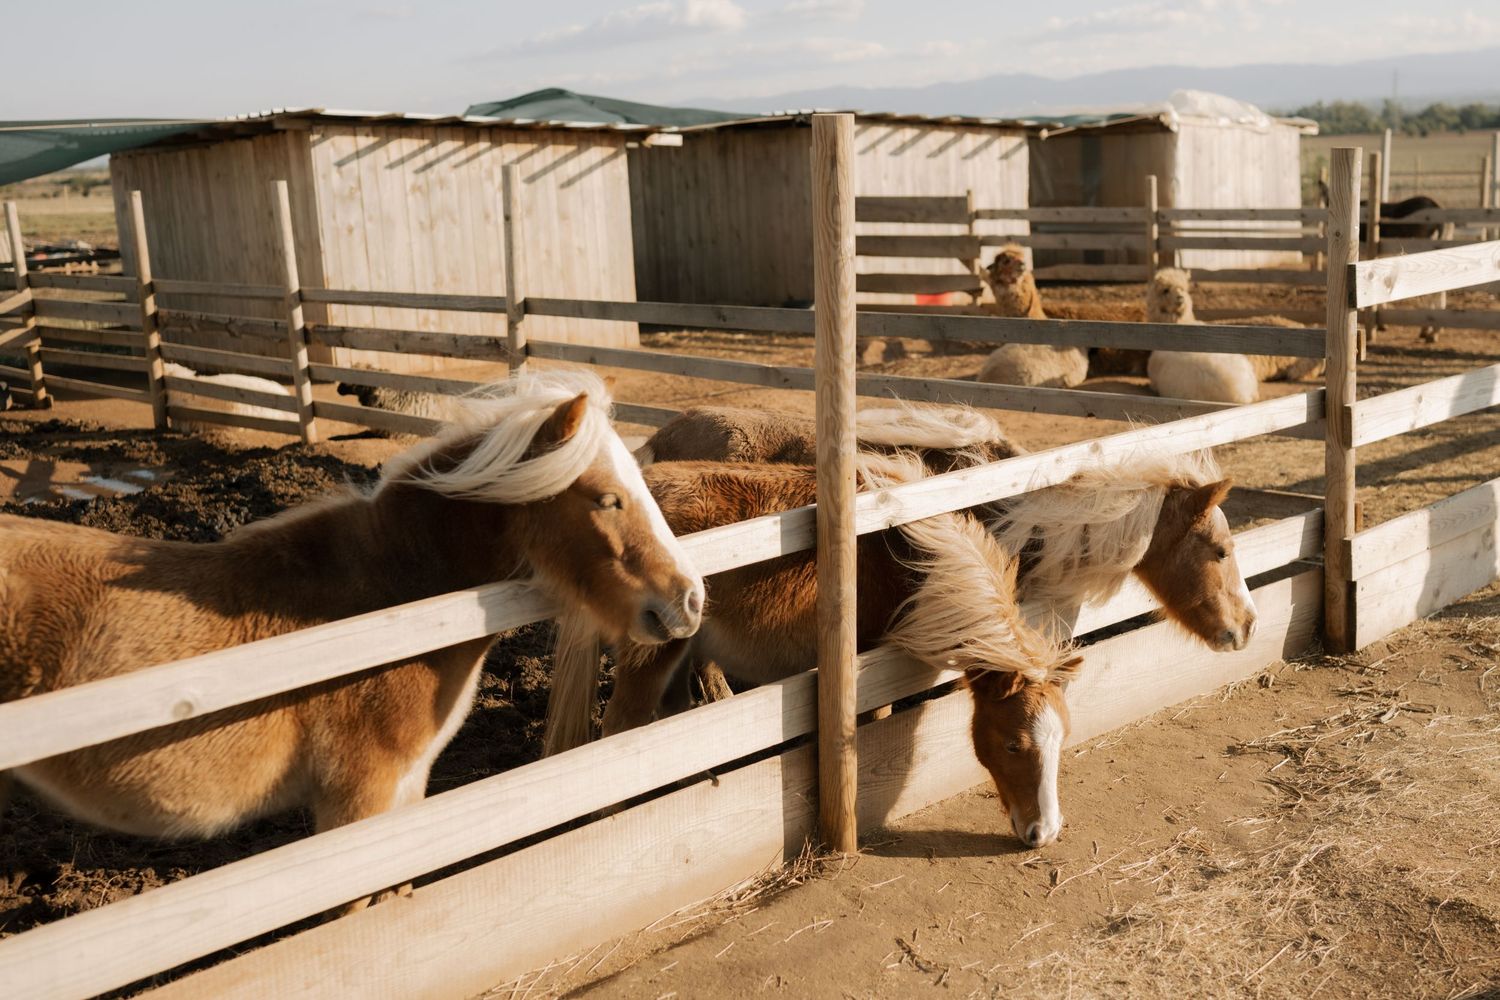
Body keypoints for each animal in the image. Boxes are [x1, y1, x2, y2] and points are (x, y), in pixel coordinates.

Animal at [552, 453, 1083, 847]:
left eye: (1061, 739)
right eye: (1013, 744)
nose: (1044, 833)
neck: (910, 553)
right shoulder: (865, 666)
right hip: (652, 655)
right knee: (622, 729)